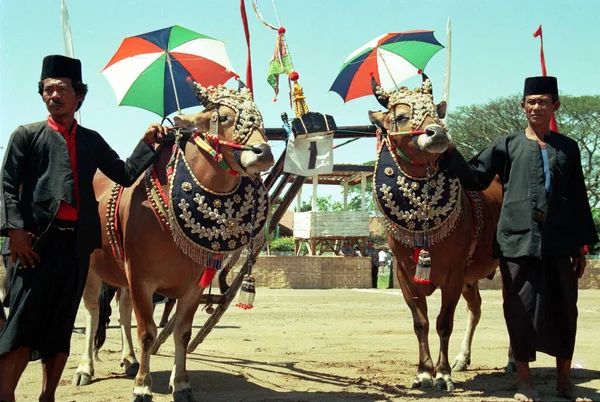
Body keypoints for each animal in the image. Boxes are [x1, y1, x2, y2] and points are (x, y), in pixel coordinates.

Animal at [72, 80, 274, 400]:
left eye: (261, 120)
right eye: (225, 117)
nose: (262, 151)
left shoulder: (193, 285)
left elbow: (182, 333)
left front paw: (181, 384)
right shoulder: (141, 278)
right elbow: (147, 332)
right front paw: (142, 386)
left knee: (123, 310)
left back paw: (129, 360)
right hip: (91, 269)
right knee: (93, 312)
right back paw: (85, 369)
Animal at [370, 74, 502, 390]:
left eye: (436, 112)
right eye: (401, 116)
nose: (438, 133)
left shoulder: (453, 273)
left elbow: (444, 322)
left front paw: (442, 374)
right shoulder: (404, 273)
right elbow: (421, 323)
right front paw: (423, 372)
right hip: (471, 279)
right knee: (476, 308)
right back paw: (462, 359)